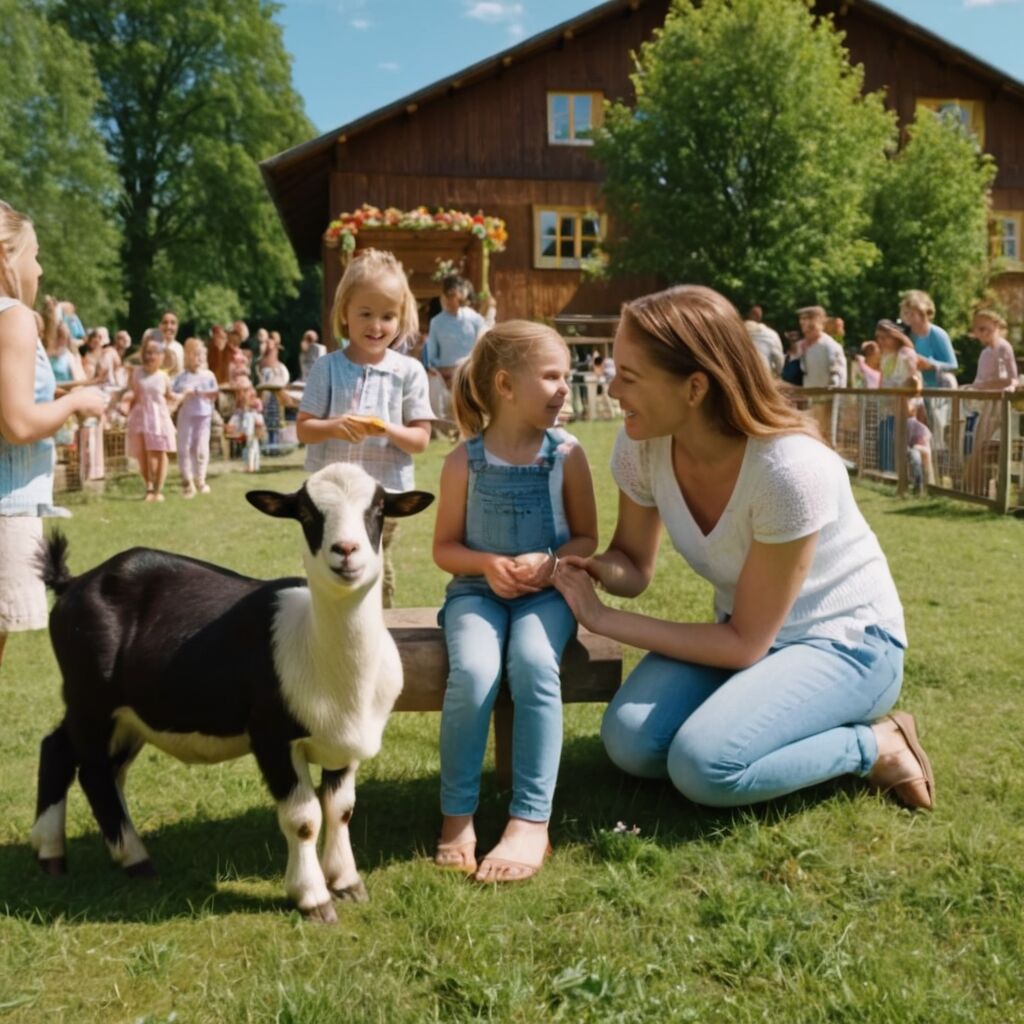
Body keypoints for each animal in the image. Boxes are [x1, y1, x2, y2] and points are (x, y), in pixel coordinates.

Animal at [32, 460, 432, 925]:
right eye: (306, 513)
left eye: (379, 508)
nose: (345, 550)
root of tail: (73, 582)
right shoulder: (272, 736)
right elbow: (304, 819)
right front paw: (313, 899)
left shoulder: (344, 738)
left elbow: (341, 808)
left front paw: (348, 882)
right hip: (90, 697)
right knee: (91, 770)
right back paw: (133, 859)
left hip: (126, 713)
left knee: (67, 752)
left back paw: (54, 854)